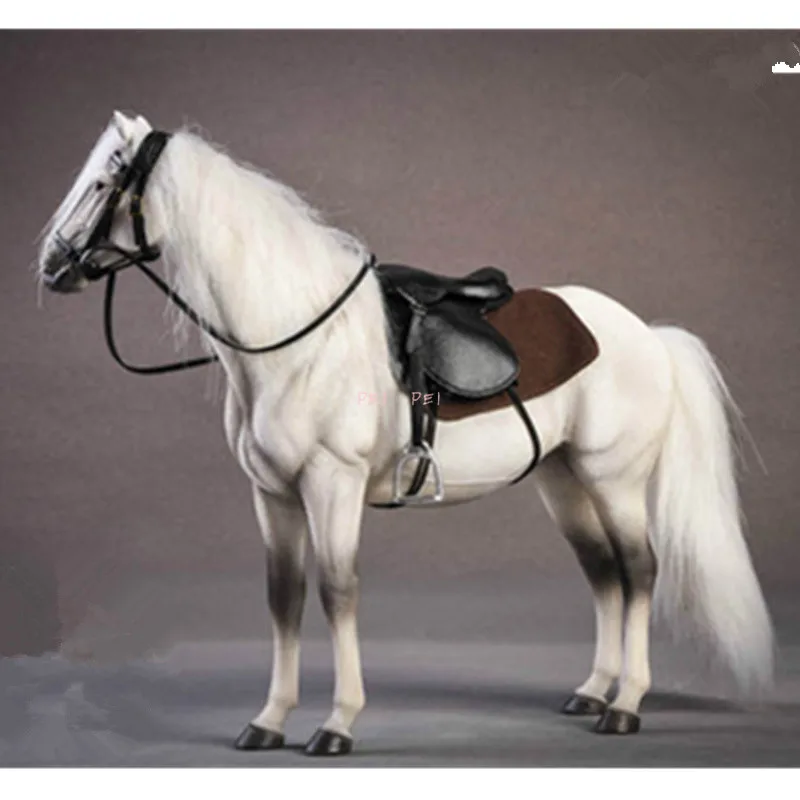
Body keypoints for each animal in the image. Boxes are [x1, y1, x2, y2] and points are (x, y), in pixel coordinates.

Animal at [36, 110, 774, 756]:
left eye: (103, 182)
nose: (51, 265)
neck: (297, 340)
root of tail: (646, 333)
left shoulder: (331, 485)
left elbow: (337, 594)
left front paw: (336, 725)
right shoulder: (272, 494)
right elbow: (284, 597)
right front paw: (269, 721)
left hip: (613, 479)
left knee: (640, 570)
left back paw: (624, 707)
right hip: (563, 482)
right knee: (603, 574)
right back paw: (593, 691)